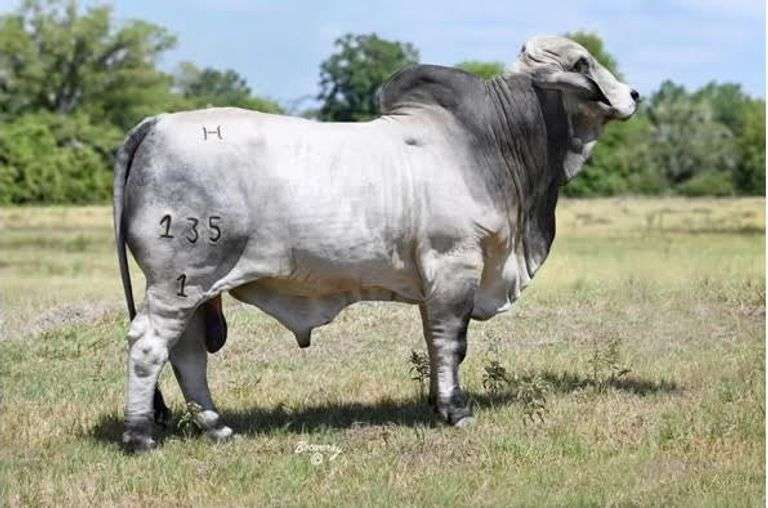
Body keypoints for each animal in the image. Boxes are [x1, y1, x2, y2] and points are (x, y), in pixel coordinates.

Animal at [114, 35, 638, 451]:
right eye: (581, 63)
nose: (632, 94)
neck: (492, 143)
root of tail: (158, 123)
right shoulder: (456, 264)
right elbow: (452, 342)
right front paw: (457, 411)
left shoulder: (435, 282)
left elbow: (435, 342)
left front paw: (436, 405)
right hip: (179, 280)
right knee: (149, 345)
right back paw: (140, 436)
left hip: (197, 289)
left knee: (187, 354)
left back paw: (218, 427)